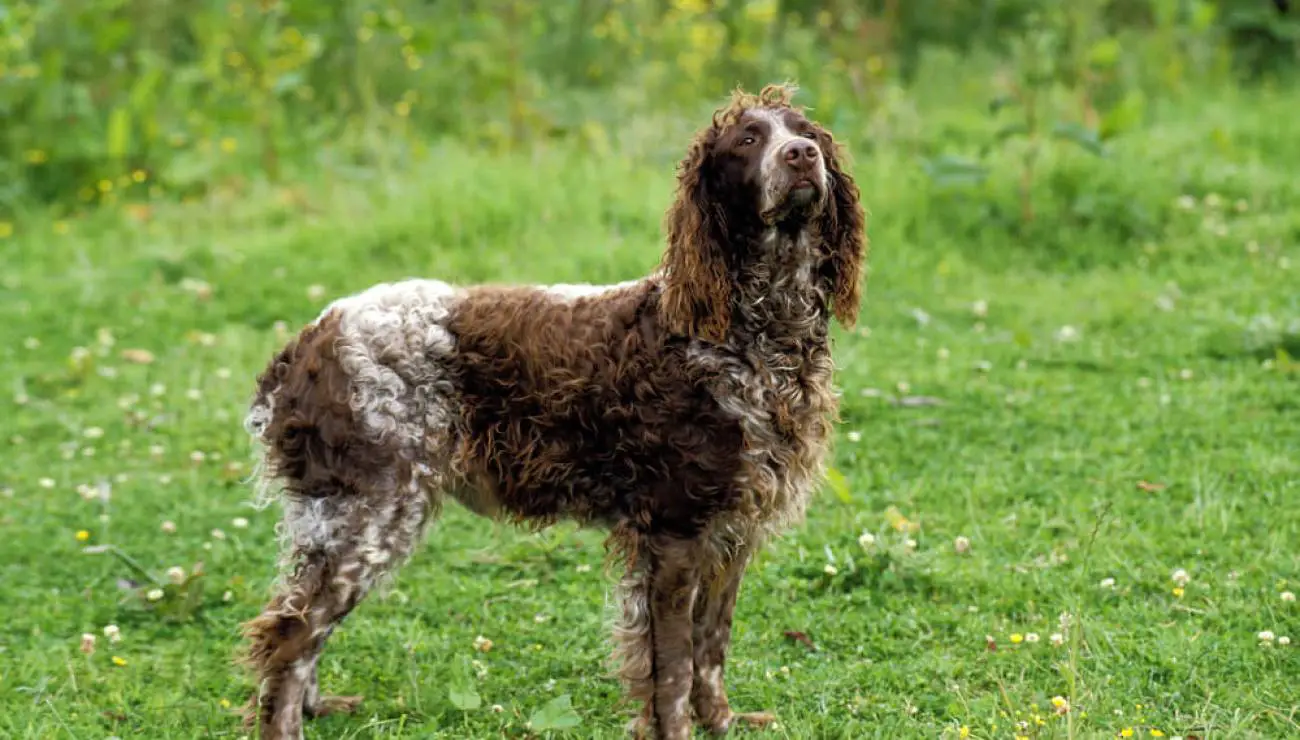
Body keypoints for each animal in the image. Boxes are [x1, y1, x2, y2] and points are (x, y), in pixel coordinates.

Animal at [241, 82, 873, 738]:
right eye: (748, 139)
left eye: (807, 132)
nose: (801, 156)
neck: (752, 332)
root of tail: (309, 339)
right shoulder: (675, 530)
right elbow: (672, 669)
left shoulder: (731, 533)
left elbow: (710, 649)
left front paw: (720, 722)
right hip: (371, 514)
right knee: (289, 636)